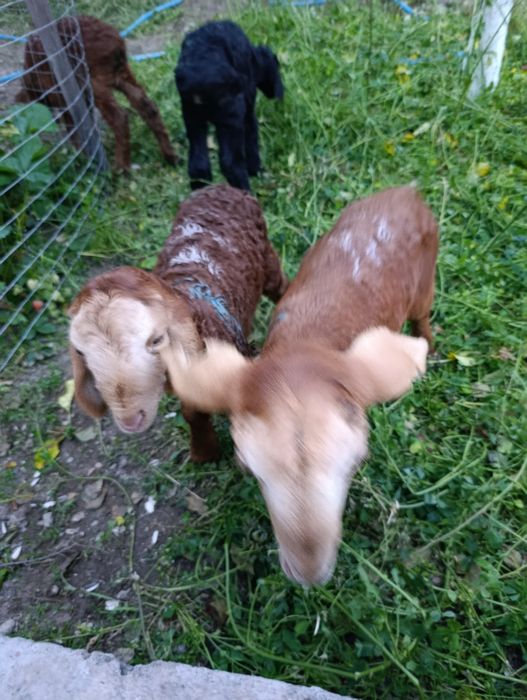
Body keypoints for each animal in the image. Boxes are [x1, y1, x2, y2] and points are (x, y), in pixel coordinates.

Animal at [17, 15, 176, 172]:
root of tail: (114, 41)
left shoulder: (62, 95)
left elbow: (73, 128)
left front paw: (81, 158)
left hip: (93, 80)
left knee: (119, 118)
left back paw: (121, 168)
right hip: (121, 72)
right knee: (147, 105)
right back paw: (170, 157)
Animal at [68, 184, 288, 463]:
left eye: (156, 340)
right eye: (81, 352)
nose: (131, 420)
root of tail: (218, 187)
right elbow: (192, 411)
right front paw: (205, 451)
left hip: (267, 259)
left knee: (280, 286)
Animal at [159, 186, 439, 585]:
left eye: (357, 463)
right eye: (247, 467)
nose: (308, 576)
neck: (305, 344)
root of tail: (406, 192)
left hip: (426, 278)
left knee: (423, 315)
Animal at [175, 20, 284, 191]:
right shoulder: (246, 108)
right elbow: (252, 136)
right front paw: (256, 171)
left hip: (191, 115)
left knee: (198, 164)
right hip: (231, 114)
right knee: (231, 162)